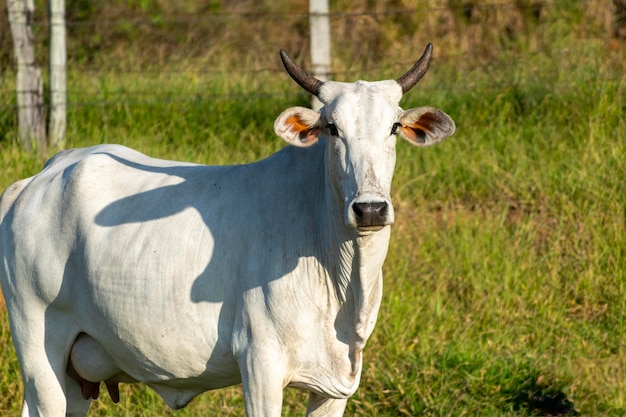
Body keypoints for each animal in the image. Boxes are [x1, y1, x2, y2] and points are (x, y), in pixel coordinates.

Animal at [0, 44, 450, 414]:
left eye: (394, 127)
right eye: (333, 129)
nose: (370, 208)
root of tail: (43, 175)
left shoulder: (334, 384)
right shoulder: (260, 364)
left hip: (76, 375)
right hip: (38, 347)